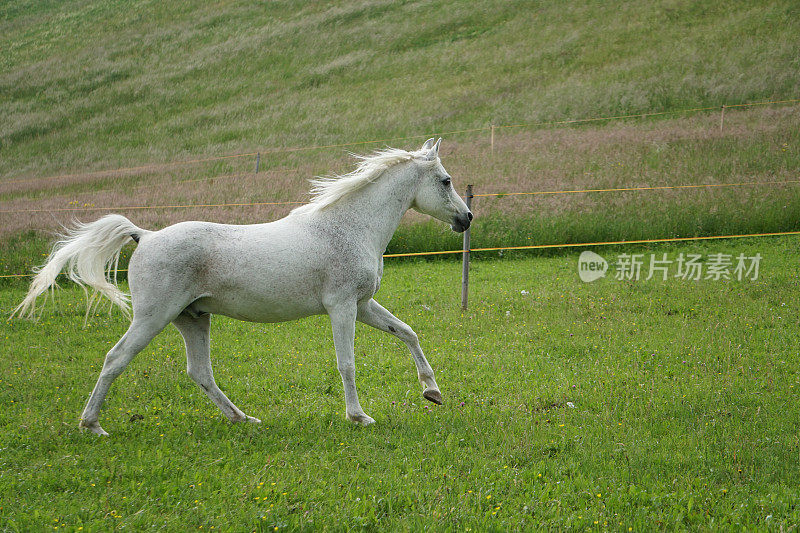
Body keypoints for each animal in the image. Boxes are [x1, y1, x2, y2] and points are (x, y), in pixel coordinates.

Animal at [12, 139, 472, 434]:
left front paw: (432, 392)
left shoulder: (362, 305)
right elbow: (347, 363)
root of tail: (144, 235)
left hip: (192, 319)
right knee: (115, 359)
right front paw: (359, 417)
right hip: (153, 317)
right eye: (446, 180)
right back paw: (92, 425)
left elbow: (408, 333)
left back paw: (243, 419)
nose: (467, 218)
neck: (349, 226)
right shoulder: (342, 307)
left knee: (200, 372)